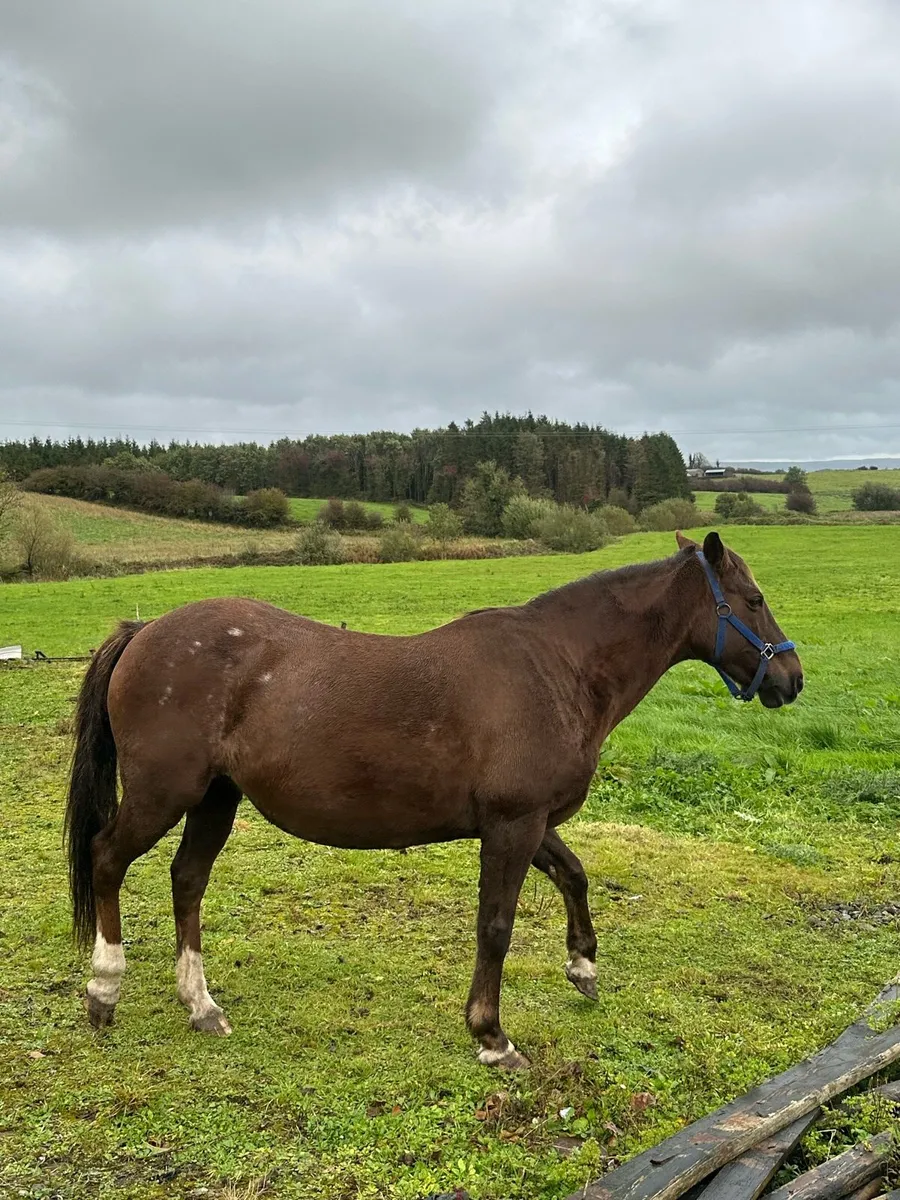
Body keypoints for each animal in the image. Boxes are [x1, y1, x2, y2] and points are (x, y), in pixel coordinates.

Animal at [65, 530, 802, 1069]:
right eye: (754, 598)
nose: (792, 678)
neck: (557, 666)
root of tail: (144, 632)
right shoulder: (512, 826)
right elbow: (496, 926)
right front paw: (491, 1036)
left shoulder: (530, 822)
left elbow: (574, 874)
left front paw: (583, 965)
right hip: (163, 794)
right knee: (107, 860)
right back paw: (103, 987)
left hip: (215, 799)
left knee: (187, 879)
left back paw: (200, 1005)